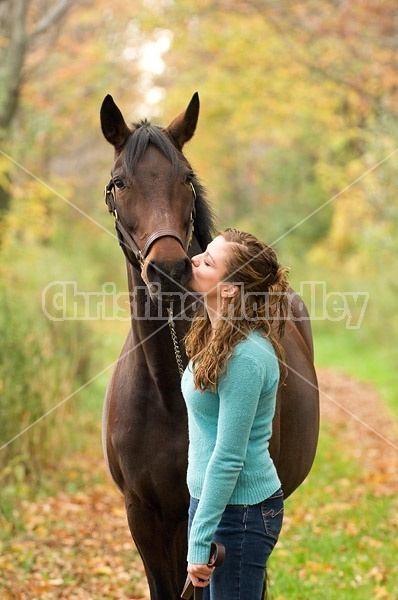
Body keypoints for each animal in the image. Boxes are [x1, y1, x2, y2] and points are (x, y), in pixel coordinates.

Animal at [100, 91, 320, 596]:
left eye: (186, 178)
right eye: (119, 183)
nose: (168, 271)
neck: (166, 392)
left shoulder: (201, 519)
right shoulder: (144, 516)